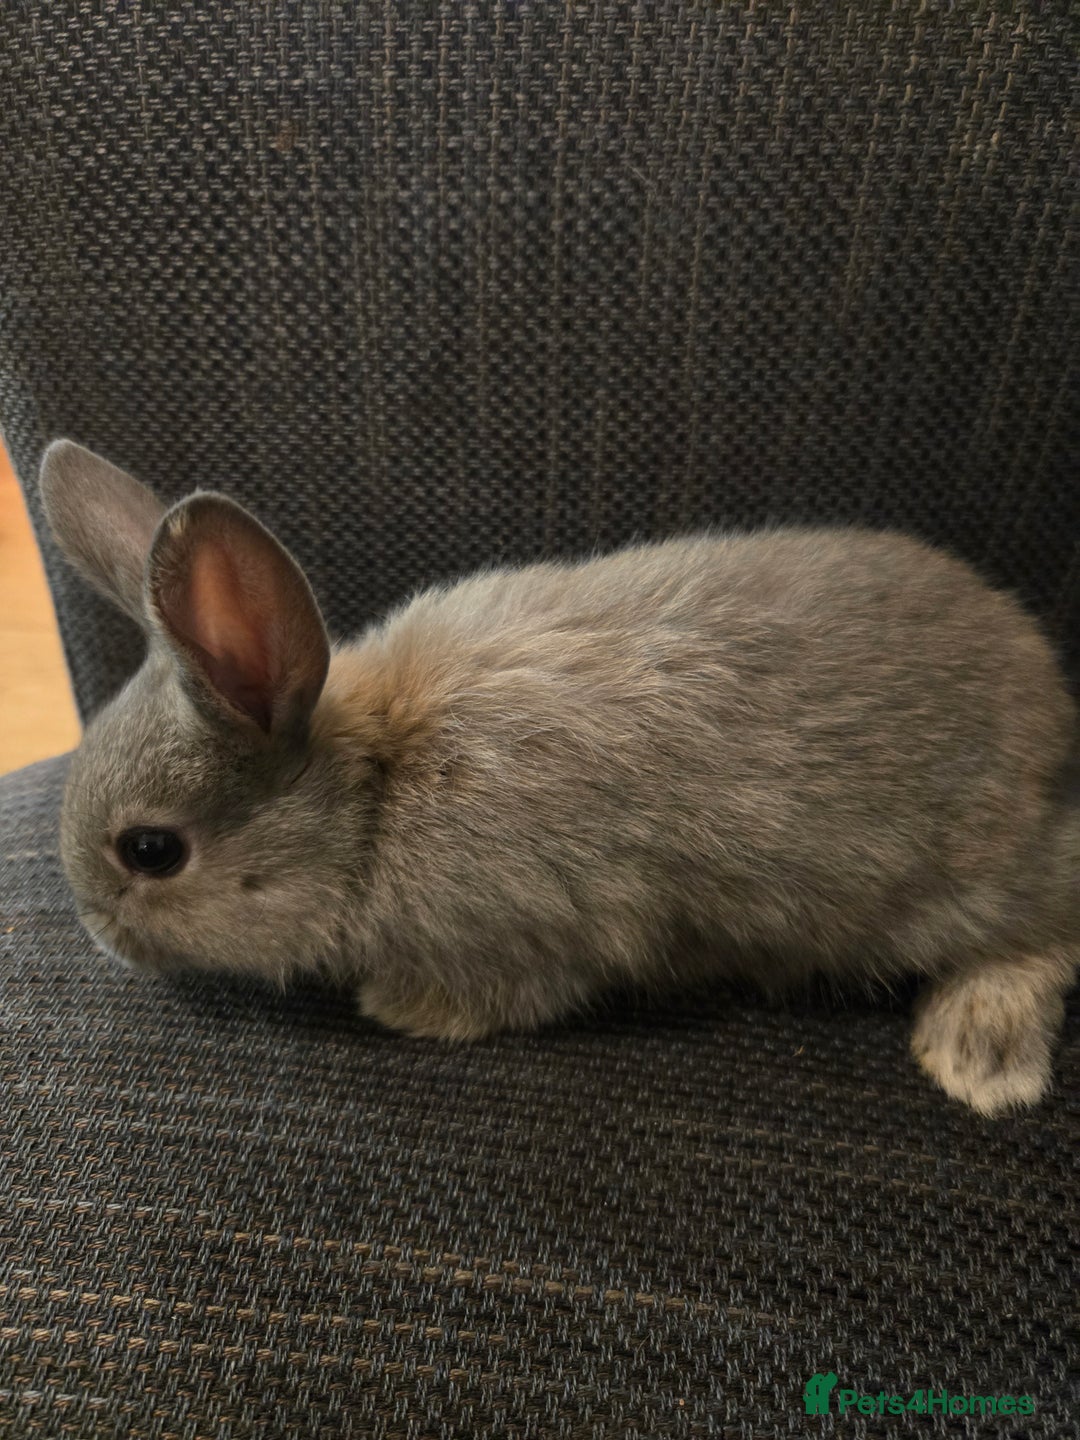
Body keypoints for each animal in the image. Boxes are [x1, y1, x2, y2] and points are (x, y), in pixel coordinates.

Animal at [39, 438, 1079, 1117]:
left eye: (151, 851)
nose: (97, 939)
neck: (373, 794)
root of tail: (1052, 706)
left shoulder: (533, 936)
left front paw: (401, 1009)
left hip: (971, 876)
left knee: (1044, 933)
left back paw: (977, 1058)